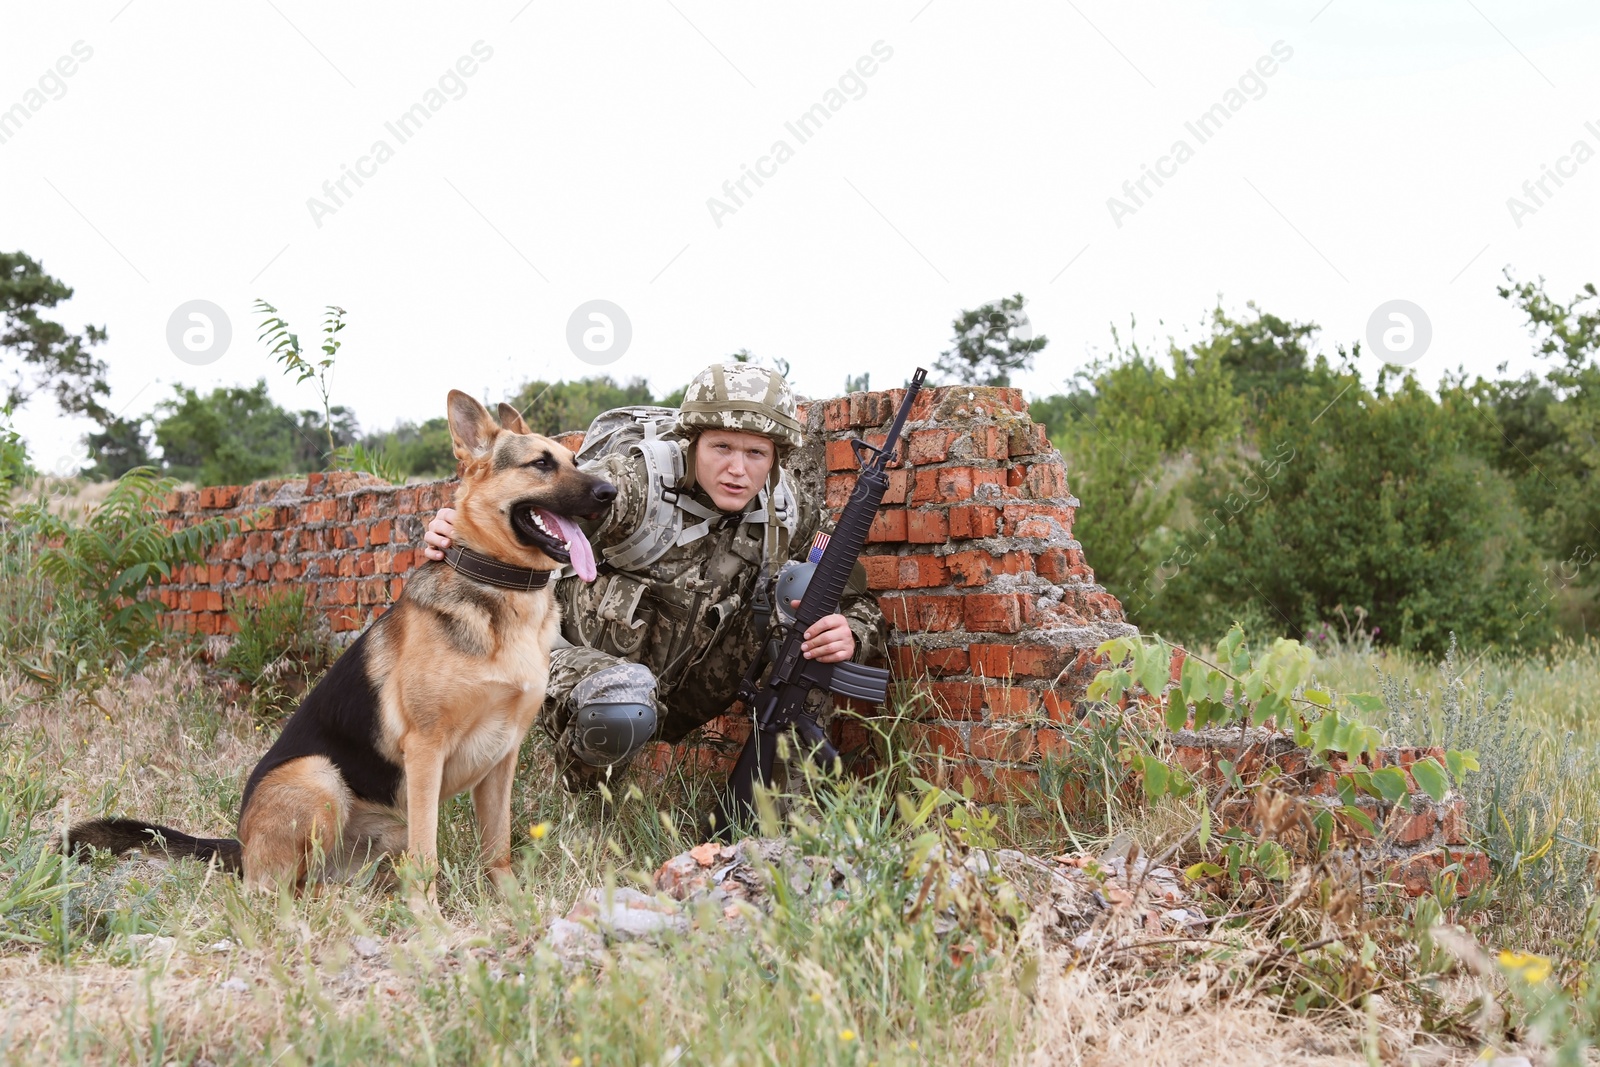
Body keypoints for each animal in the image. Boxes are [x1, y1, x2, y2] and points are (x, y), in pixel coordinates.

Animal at [65, 391, 611, 895]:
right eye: (540, 464)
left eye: (574, 461)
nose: (609, 491)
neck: (498, 588)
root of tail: (241, 843)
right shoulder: (426, 752)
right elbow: (428, 859)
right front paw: (430, 920)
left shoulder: (501, 758)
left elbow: (498, 849)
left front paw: (512, 908)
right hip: (319, 777)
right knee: (275, 888)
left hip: (382, 828)